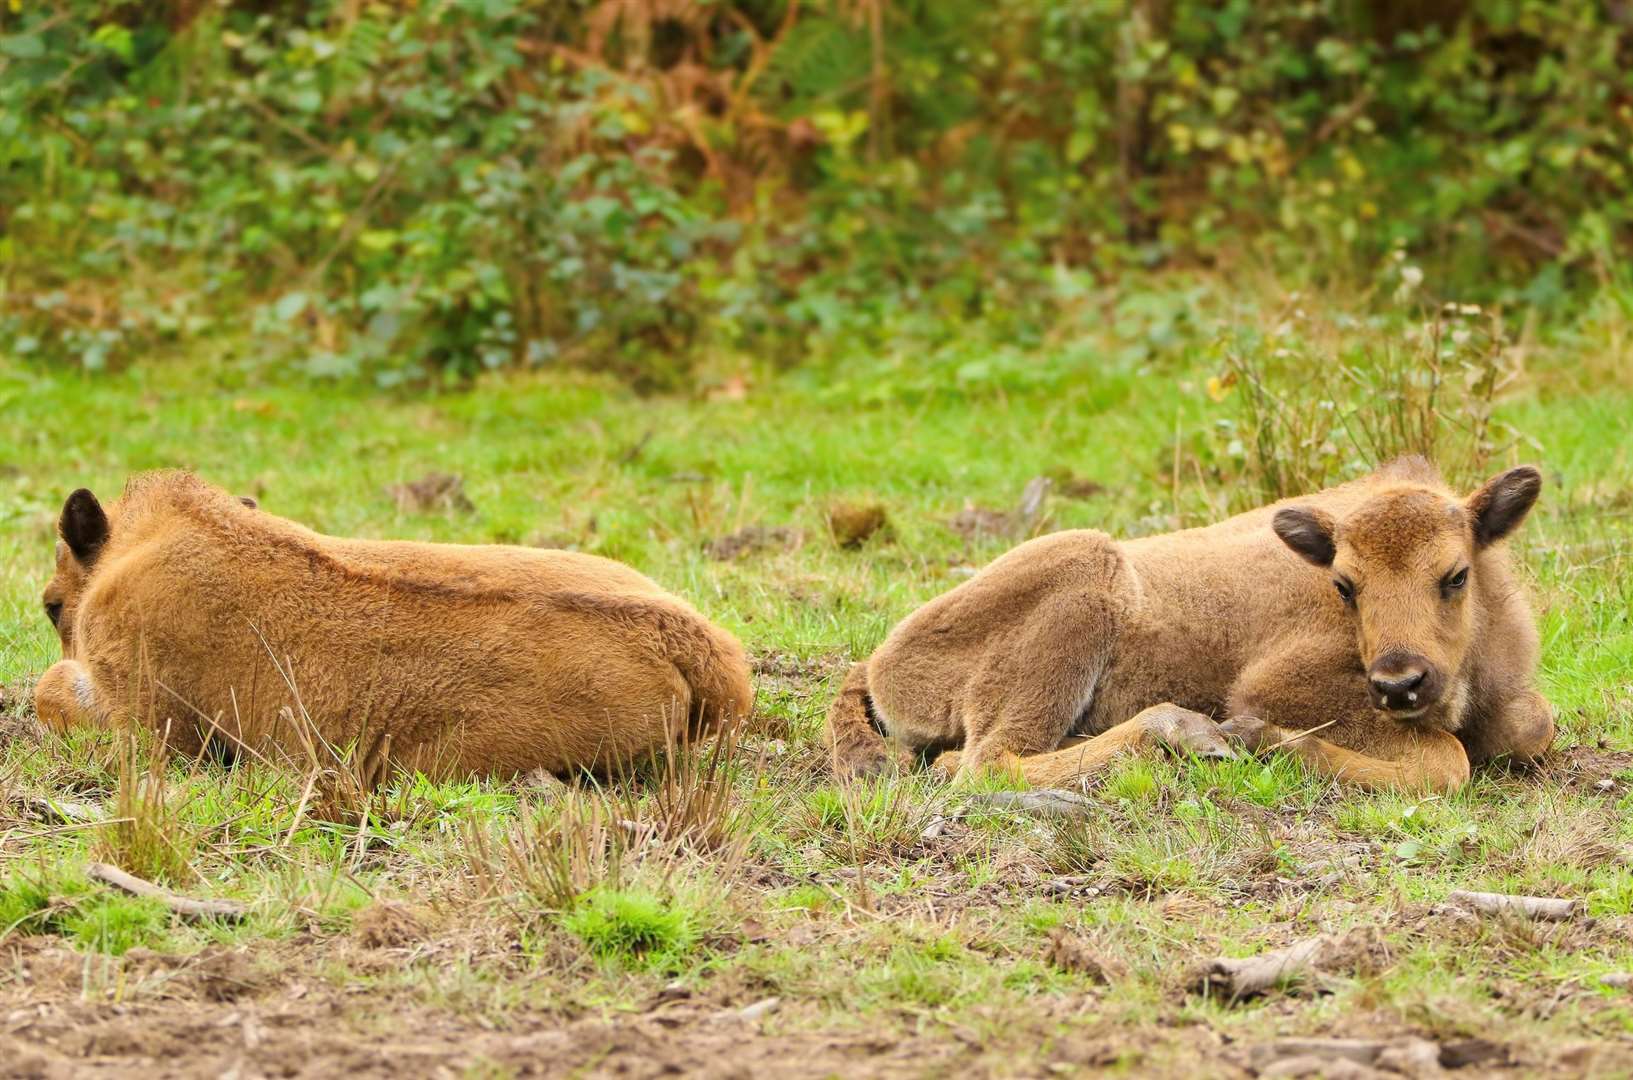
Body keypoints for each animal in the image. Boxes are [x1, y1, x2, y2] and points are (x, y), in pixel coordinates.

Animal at [829, 454, 1554, 790]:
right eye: (1344, 585)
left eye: (1454, 575)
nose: (1400, 683)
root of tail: (880, 661)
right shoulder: (1279, 686)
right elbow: (1447, 762)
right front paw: (1262, 740)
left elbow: (1532, 725)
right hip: (1077, 585)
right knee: (985, 763)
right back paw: (1188, 733)